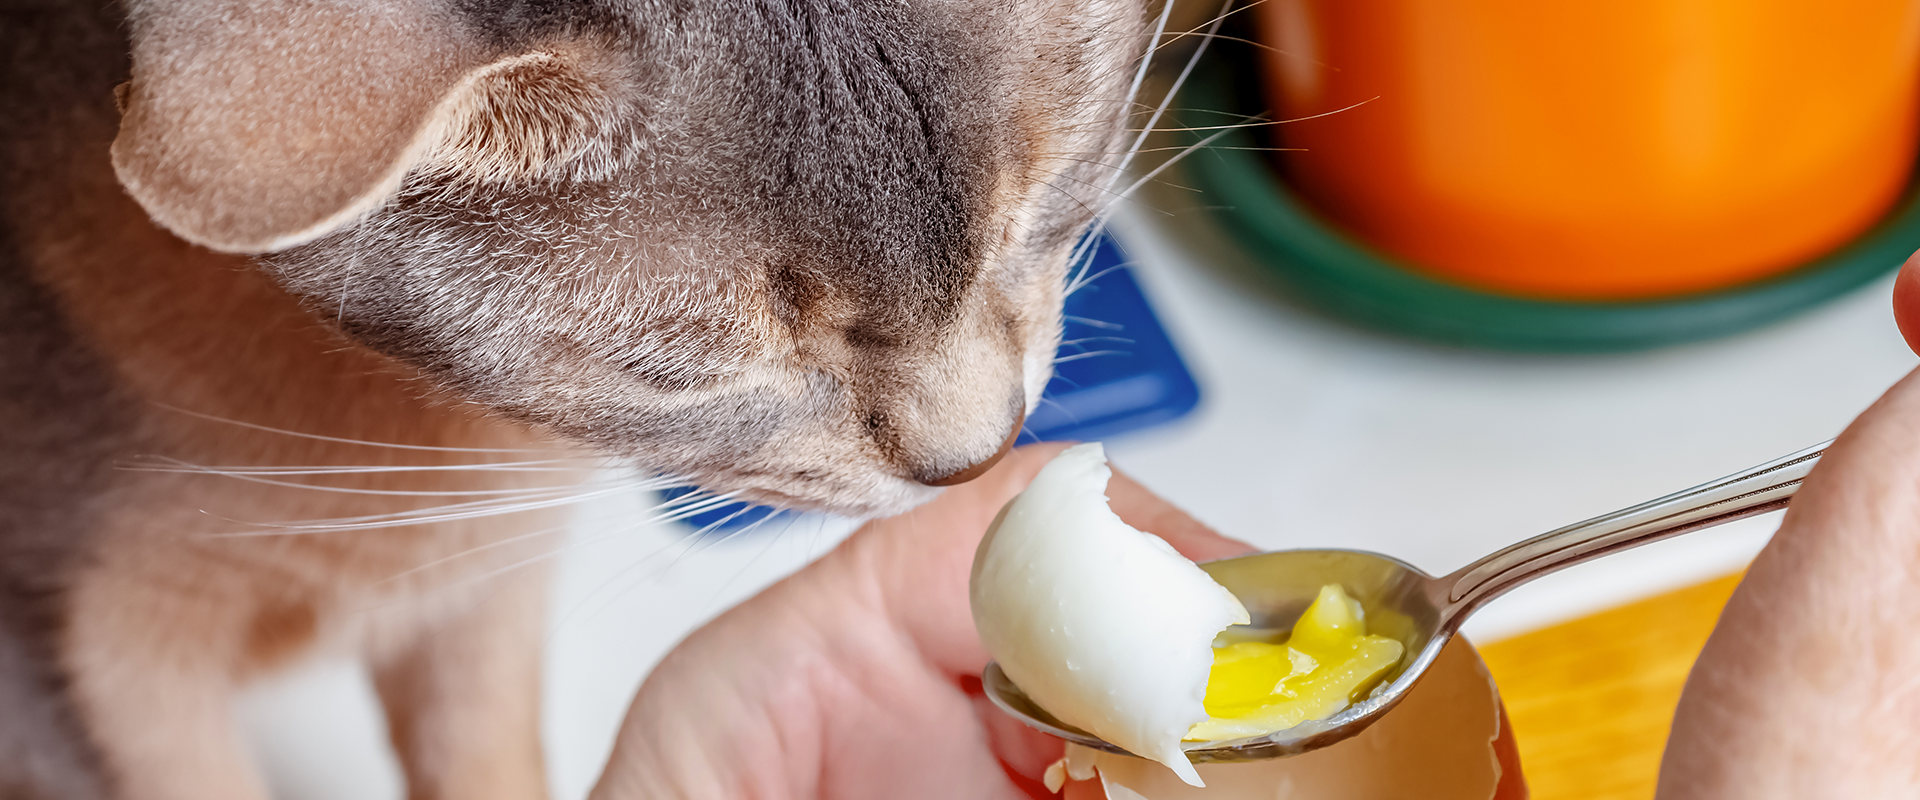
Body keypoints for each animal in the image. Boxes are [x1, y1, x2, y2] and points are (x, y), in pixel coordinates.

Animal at [0, 0, 1167, 794]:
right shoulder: (90, 670)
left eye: (1041, 210)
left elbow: (487, 758)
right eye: (699, 371)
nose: (976, 454)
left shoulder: (478, 596)